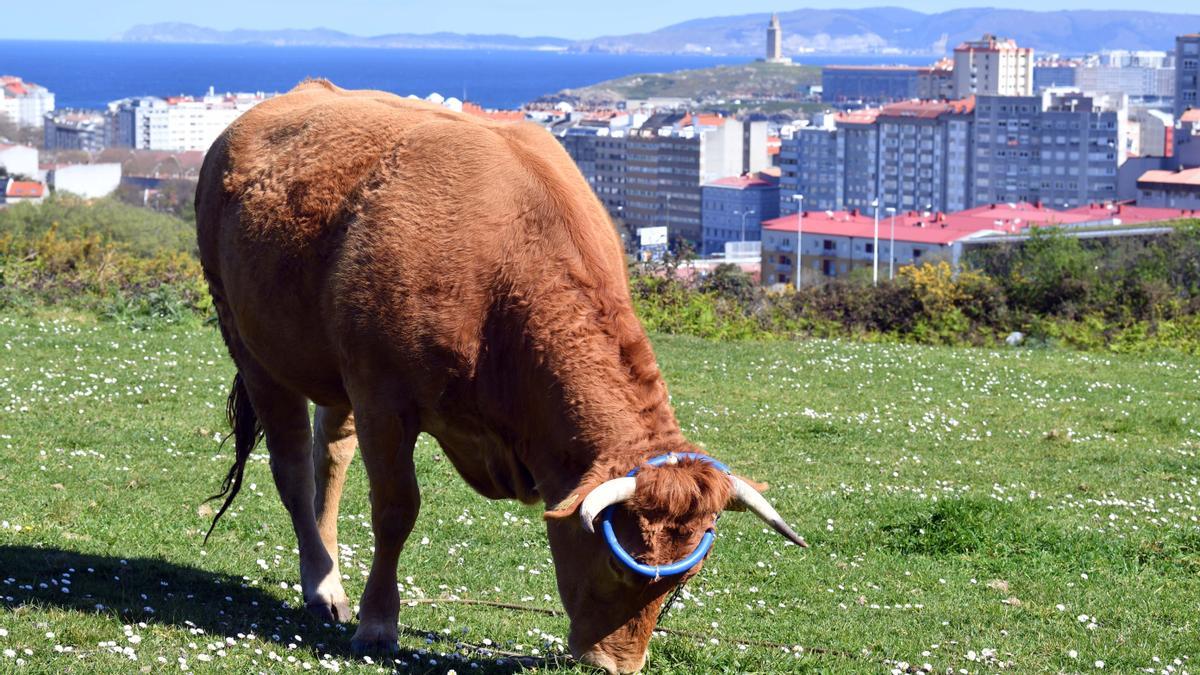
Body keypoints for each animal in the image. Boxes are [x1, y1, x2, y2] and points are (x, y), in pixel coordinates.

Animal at [194, 79, 806, 672]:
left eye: (682, 582)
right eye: (619, 564)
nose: (616, 666)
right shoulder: (382, 400)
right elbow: (395, 510)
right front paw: (378, 625)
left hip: (331, 368)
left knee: (330, 458)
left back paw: (328, 583)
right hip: (249, 342)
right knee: (293, 468)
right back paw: (321, 587)